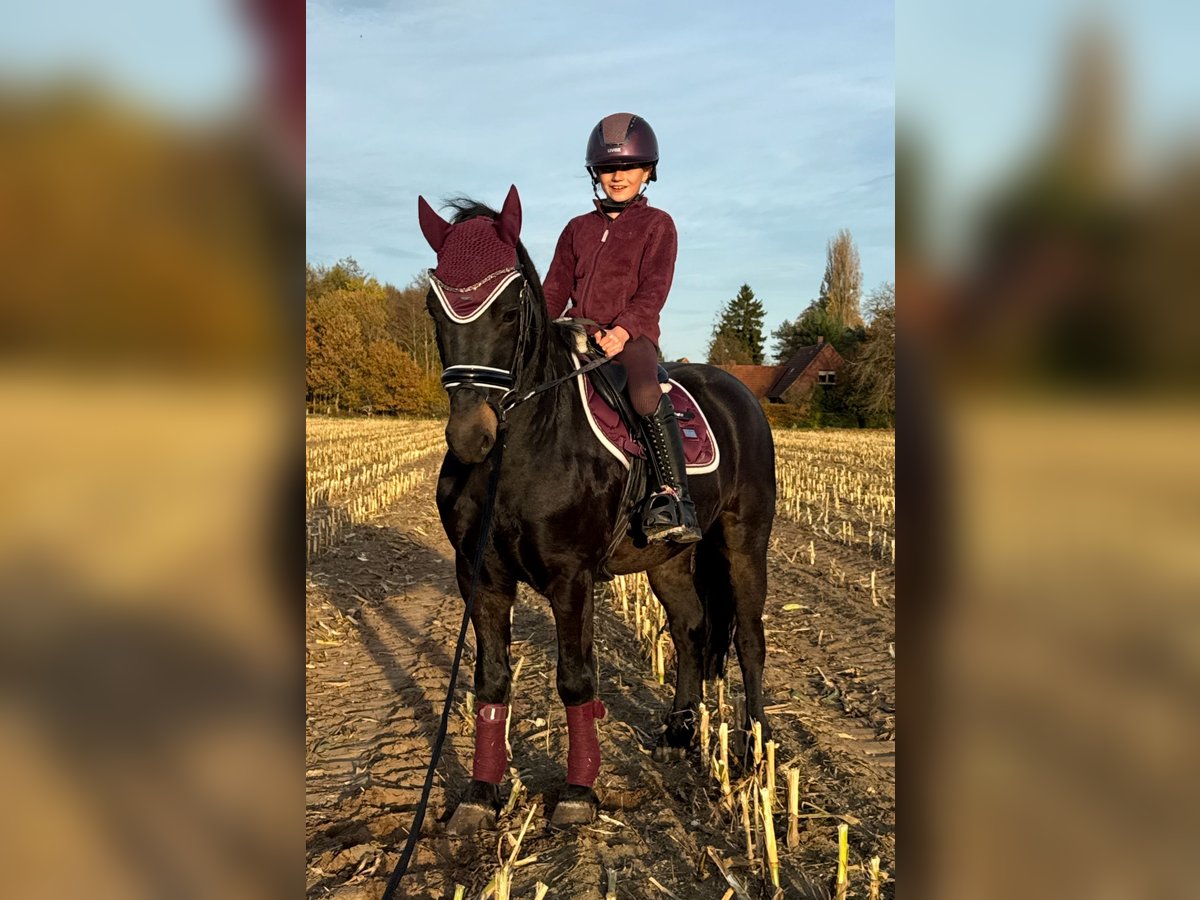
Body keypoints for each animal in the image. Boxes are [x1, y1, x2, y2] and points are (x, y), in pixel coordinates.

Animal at [417, 185, 776, 833]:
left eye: (510, 310)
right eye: (435, 308)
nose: (471, 436)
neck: (522, 450)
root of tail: (738, 392)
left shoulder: (572, 577)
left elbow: (577, 679)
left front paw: (579, 793)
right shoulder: (481, 577)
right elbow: (491, 681)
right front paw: (481, 793)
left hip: (744, 543)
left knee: (749, 640)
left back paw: (752, 752)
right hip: (669, 560)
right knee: (690, 629)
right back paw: (680, 734)